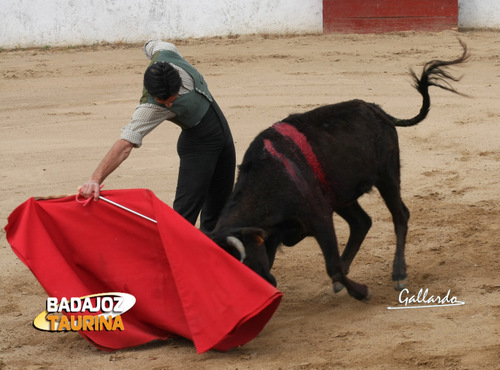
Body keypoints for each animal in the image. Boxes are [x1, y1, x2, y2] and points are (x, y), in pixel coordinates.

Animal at [209, 40, 466, 302]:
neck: (269, 180)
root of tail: (377, 109)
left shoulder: (320, 218)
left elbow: (331, 264)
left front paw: (362, 291)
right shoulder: (277, 233)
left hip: (387, 175)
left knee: (399, 215)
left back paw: (399, 273)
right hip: (342, 195)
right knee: (362, 222)